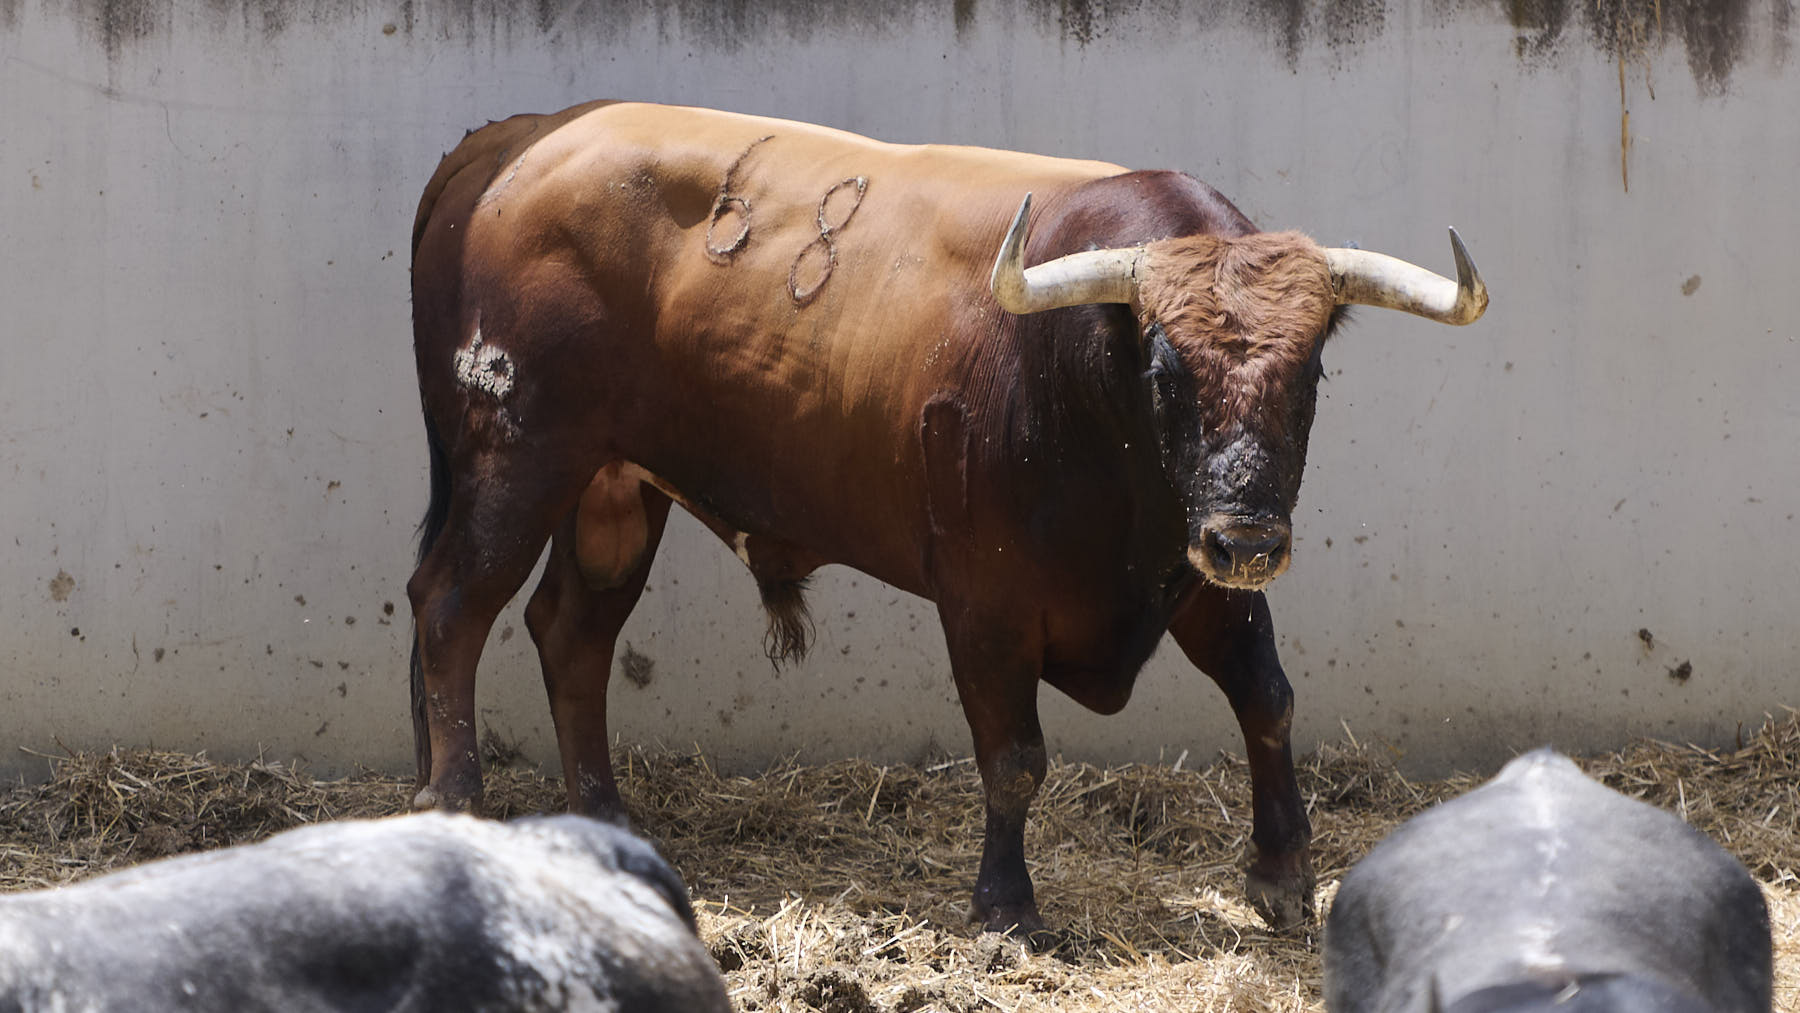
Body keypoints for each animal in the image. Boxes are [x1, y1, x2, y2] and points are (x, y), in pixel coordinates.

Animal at [412, 103, 1490, 935]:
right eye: (1164, 373)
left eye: (1308, 374)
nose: (1251, 539)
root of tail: (515, 140)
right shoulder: (986, 601)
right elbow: (1013, 757)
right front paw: (1007, 905)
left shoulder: (1201, 576)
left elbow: (1267, 696)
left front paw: (1283, 874)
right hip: (514, 459)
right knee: (453, 605)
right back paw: (455, 799)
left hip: (613, 486)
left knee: (571, 630)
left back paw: (605, 816)